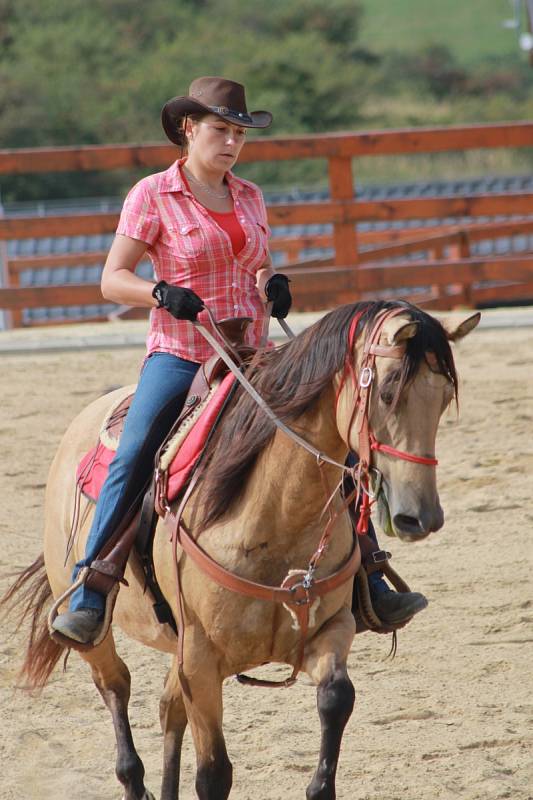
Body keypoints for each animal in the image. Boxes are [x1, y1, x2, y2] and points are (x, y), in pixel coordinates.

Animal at [2, 300, 480, 800]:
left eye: (445, 396)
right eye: (387, 392)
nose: (421, 517)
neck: (275, 515)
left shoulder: (331, 629)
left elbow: (336, 698)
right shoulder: (199, 660)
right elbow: (213, 773)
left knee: (167, 709)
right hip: (96, 631)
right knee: (115, 686)